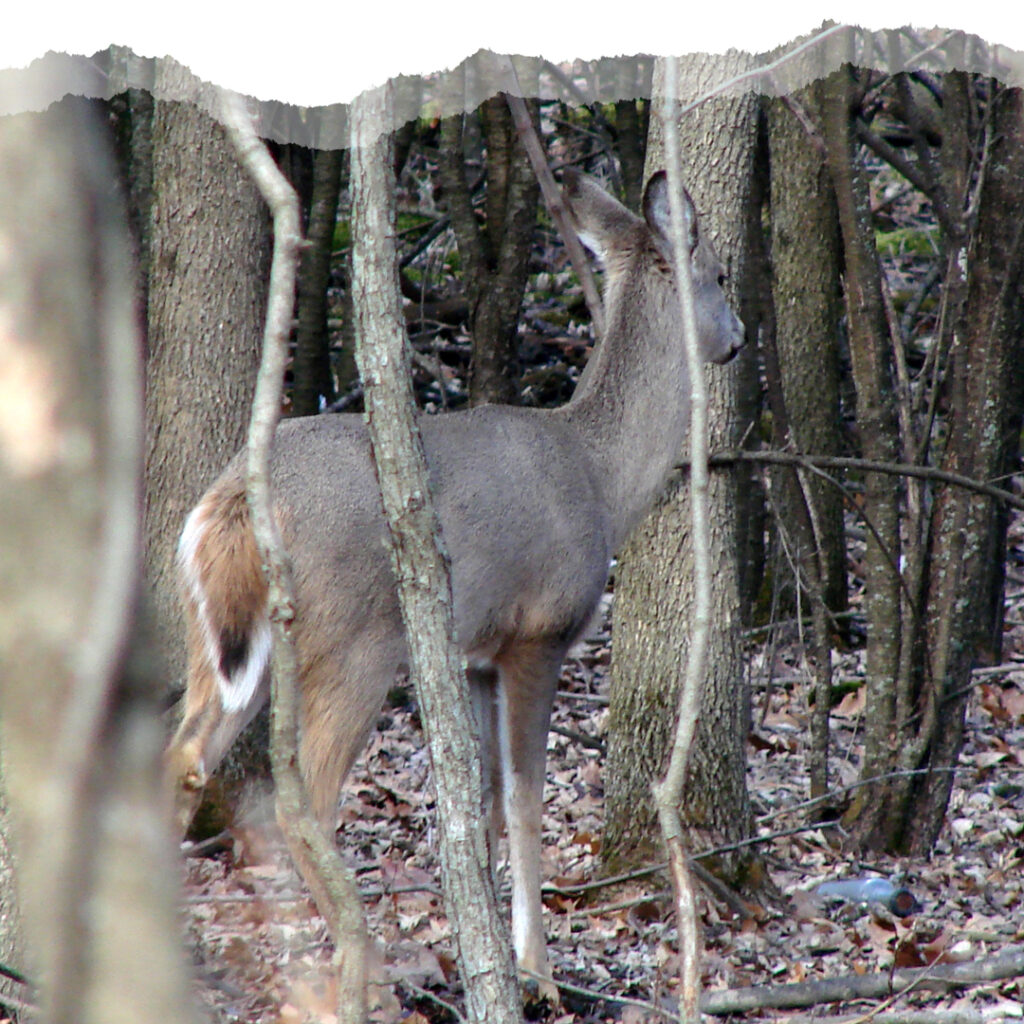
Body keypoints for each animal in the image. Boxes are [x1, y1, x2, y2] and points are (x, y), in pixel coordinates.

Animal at [165, 172, 745, 995]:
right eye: (721, 274)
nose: (738, 337)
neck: (601, 478)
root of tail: (232, 505)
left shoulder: (476, 654)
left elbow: (485, 803)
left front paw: (486, 943)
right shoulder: (540, 629)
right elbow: (527, 798)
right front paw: (534, 967)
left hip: (218, 635)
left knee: (183, 757)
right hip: (356, 640)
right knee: (302, 798)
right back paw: (359, 962)